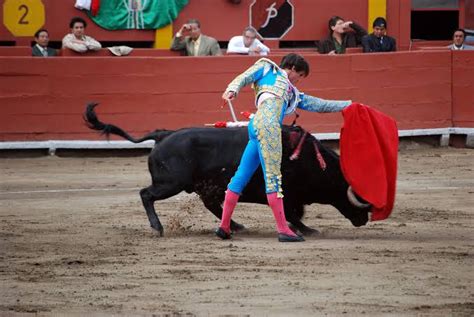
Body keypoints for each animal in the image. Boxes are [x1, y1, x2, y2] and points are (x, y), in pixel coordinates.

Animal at [86, 102, 374, 236]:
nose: (365, 218)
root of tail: (163, 134)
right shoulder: (289, 193)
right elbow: (292, 213)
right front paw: (307, 230)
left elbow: (294, 212)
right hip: (171, 183)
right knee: (146, 194)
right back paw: (158, 228)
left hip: (200, 186)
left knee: (213, 204)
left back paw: (235, 225)